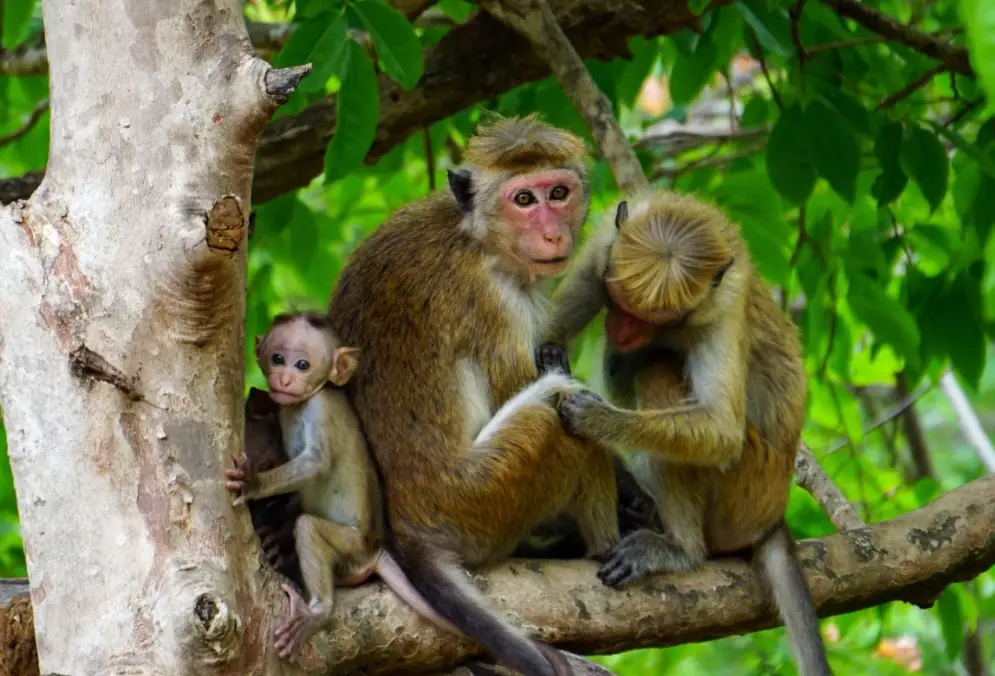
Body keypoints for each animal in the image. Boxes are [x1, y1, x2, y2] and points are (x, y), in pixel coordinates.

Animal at [327, 114, 621, 676]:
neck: (477, 238)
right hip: (481, 497)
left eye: (558, 193)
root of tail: (409, 534)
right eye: (523, 199)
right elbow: (521, 383)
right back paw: (603, 546)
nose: (552, 232)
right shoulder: (495, 302)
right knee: (555, 414)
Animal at [547, 191, 833, 676]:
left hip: (743, 493)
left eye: (651, 315)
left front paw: (595, 420)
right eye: (619, 302)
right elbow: (547, 337)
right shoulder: (603, 251)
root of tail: (772, 512)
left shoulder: (723, 309)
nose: (623, 329)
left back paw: (682, 550)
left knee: (657, 368)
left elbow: (721, 431)